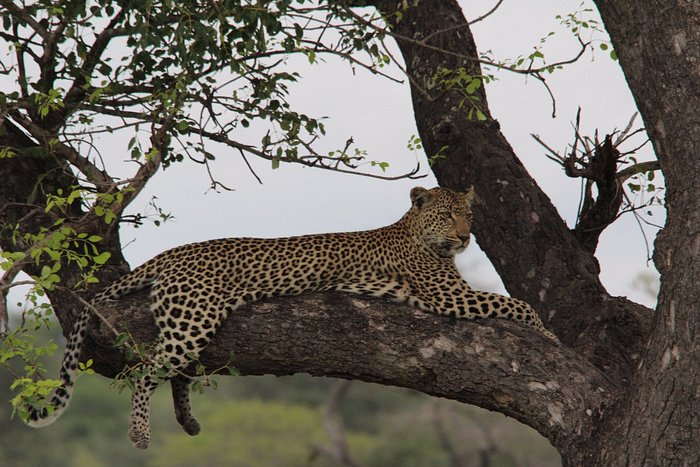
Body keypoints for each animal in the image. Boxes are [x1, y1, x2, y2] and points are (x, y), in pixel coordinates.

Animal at [26, 186, 556, 450]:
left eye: (469, 214)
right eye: (447, 215)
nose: (467, 237)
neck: (416, 233)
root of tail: (175, 252)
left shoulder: (456, 293)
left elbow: (515, 303)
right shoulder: (451, 297)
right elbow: (518, 304)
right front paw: (550, 333)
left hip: (192, 325)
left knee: (172, 369)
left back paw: (188, 421)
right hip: (193, 319)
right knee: (144, 369)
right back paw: (139, 434)